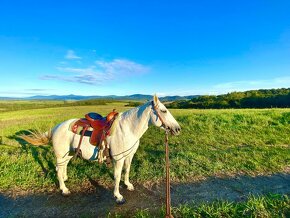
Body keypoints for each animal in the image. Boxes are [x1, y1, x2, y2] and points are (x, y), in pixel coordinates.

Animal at [22, 95, 179, 204]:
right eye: (164, 111)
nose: (177, 129)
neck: (127, 129)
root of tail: (56, 128)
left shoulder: (129, 156)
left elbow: (127, 170)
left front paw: (128, 185)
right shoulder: (118, 158)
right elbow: (117, 176)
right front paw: (118, 196)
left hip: (68, 154)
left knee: (61, 168)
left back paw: (65, 180)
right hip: (61, 155)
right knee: (59, 170)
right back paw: (64, 189)